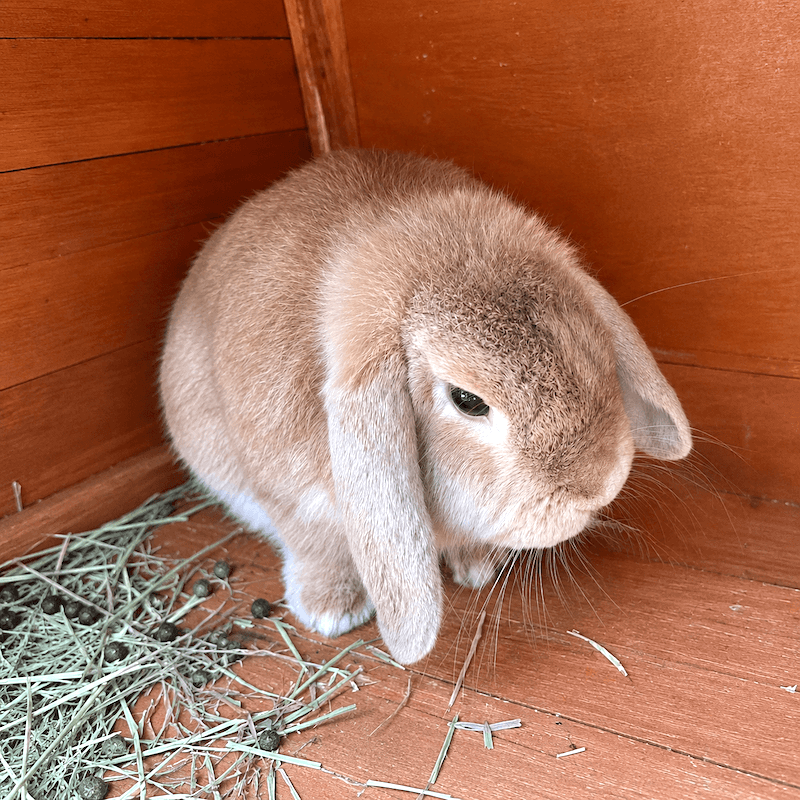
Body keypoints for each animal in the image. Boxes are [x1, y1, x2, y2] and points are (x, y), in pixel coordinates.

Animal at [159, 148, 692, 665]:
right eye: (467, 401)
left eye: (593, 345)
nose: (599, 484)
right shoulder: (290, 497)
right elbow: (316, 546)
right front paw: (332, 611)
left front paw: (479, 566)